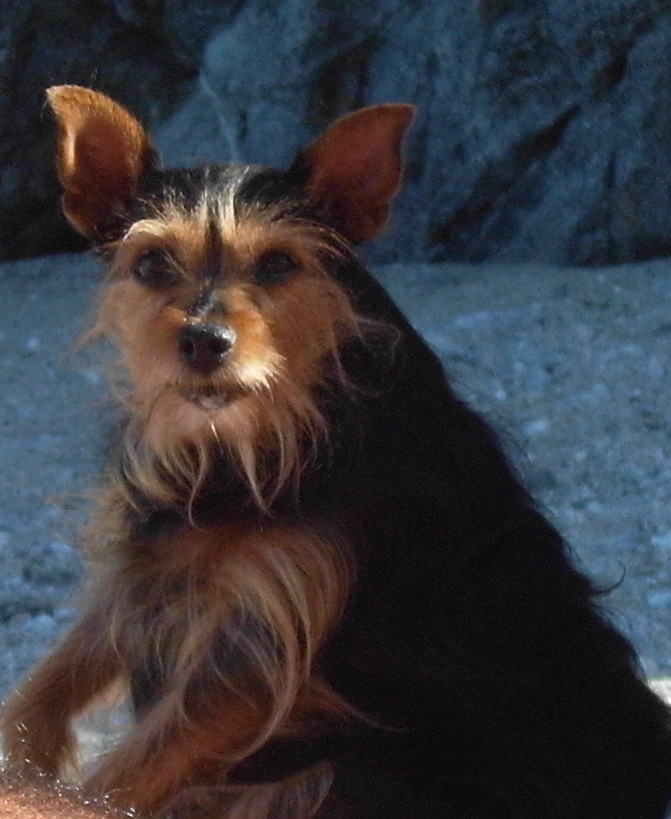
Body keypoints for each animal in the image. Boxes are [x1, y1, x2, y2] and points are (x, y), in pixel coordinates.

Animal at [2, 85, 671, 819]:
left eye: (278, 264)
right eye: (151, 265)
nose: (204, 341)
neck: (246, 445)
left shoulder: (256, 645)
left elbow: (116, 778)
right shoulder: (138, 574)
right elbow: (44, 689)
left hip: (340, 777)